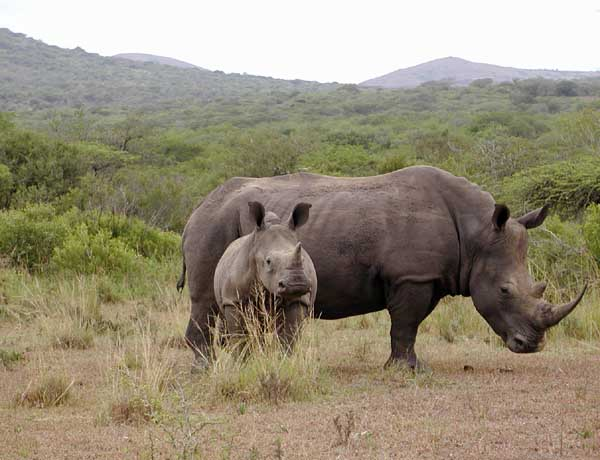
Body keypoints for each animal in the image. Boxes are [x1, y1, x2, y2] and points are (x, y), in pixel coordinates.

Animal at [213, 201, 316, 348]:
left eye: (303, 260)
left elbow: (289, 338)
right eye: (268, 261)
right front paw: (242, 354)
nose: (297, 283)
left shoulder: (297, 300)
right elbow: (240, 338)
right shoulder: (233, 300)